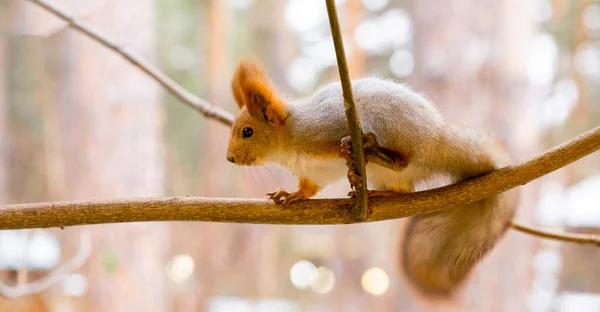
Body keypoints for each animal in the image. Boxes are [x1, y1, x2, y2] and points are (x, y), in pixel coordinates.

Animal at [227, 58, 516, 298]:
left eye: (247, 132)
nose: (229, 158)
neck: (288, 142)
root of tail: (435, 141)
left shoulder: (323, 128)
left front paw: (348, 153)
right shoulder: (313, 173)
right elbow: (308, 189)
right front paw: (290, 194)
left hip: (392, 125)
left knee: (401, 161)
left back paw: (368, 149)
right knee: (404, 189)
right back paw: (377, 191)